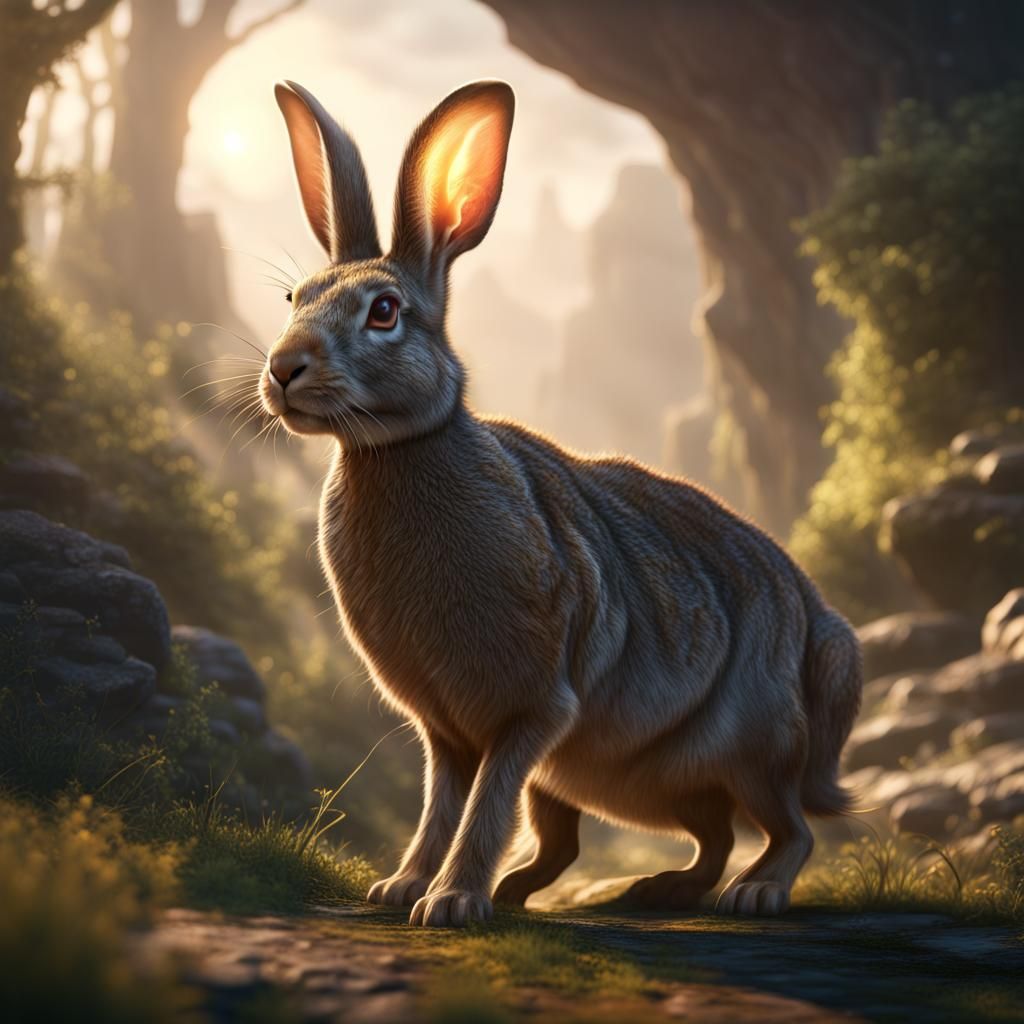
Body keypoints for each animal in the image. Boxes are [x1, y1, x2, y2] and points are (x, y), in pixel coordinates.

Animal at [261, 78, 863, 928]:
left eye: (384, 311)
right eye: (294, 295)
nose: (283, 369)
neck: (399, 450)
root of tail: (818, 624)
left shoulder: (533, 710)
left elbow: (484, 809)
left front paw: (450, 904)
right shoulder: (446, 733)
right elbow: (440, 808)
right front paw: (401, 889)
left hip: (749, 748)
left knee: (788, 830)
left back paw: (754, 893)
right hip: (602, 778)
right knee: (658, 839)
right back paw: (627, 890)